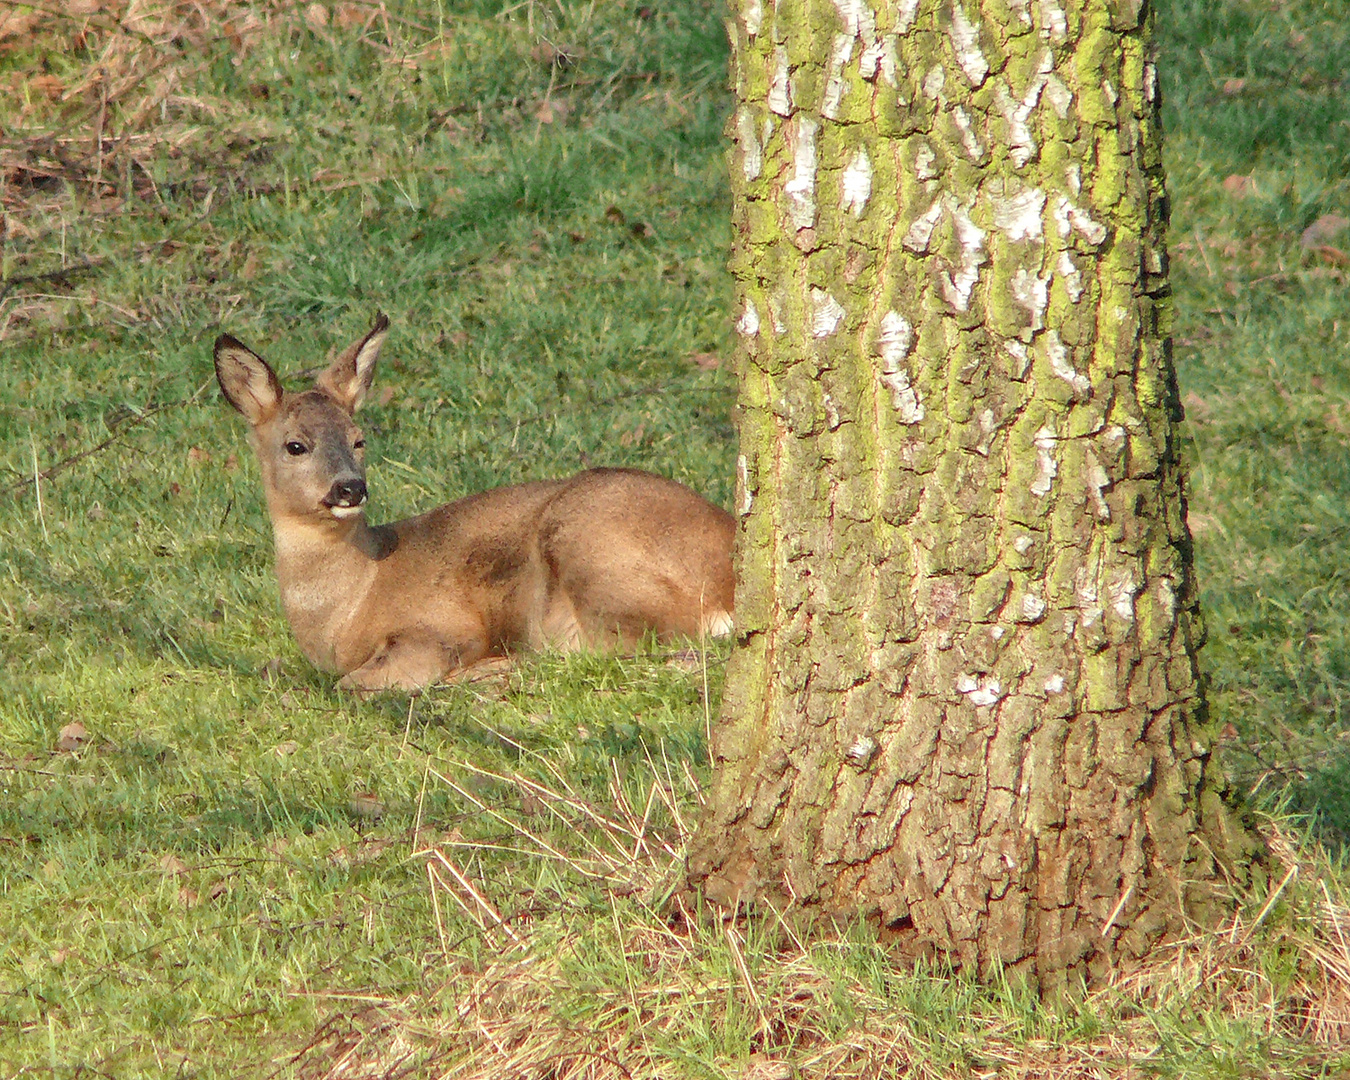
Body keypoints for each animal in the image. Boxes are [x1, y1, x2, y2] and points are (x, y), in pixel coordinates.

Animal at [213, 311, 739, 691]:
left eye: (359, 439)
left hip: (591, 543)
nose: (349, 487)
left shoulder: (439, 624)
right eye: (295, 445)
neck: (346, 607)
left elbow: (353, 683)